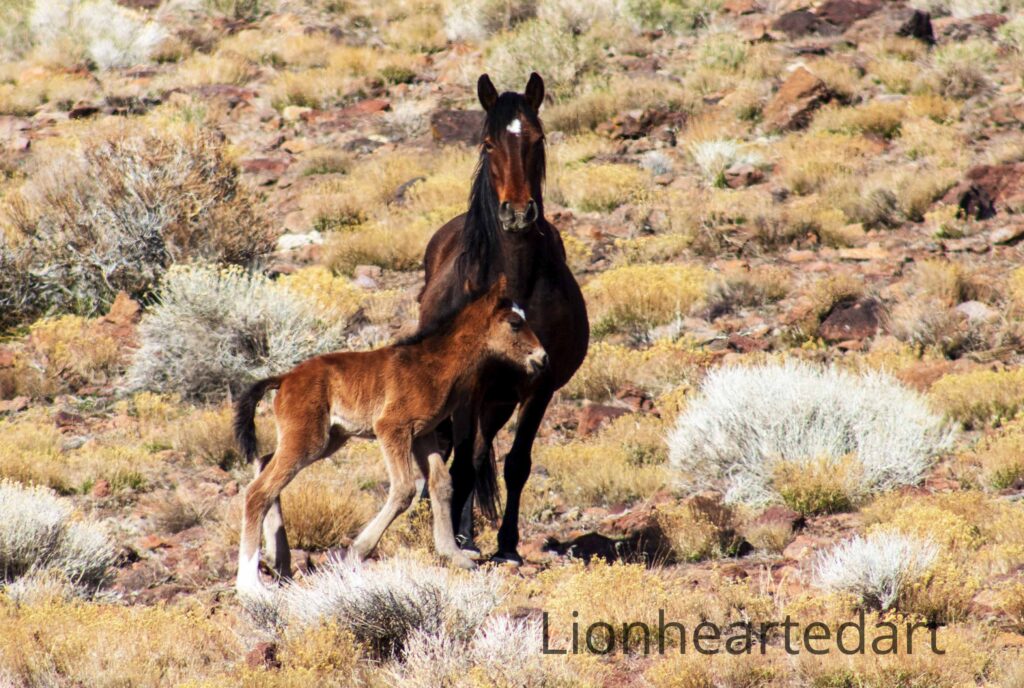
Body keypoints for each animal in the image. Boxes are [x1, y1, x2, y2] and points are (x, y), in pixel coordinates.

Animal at [232, 276, 547, 595]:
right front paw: (355, 552)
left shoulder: (424, 435)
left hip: (329, 439)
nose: (542, 358)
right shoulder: (392, 428)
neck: (434, 365)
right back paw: (251, 585)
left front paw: (455, 555)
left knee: (265, 465)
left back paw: (279, 562)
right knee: (258, 491)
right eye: (514, 323)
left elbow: (442, 483)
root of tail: (284, 379)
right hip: (310, 439)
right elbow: (404, 489)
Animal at [417, 73, 589, 564]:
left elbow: (516, 464)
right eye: (488, 143)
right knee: (456, 456)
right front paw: (459, 543)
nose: (516, 213)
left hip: (499, 401)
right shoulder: (468, 389)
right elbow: (461, 466)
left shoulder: (539, 386)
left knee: (479, 453)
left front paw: (507, 545)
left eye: (538, 139)